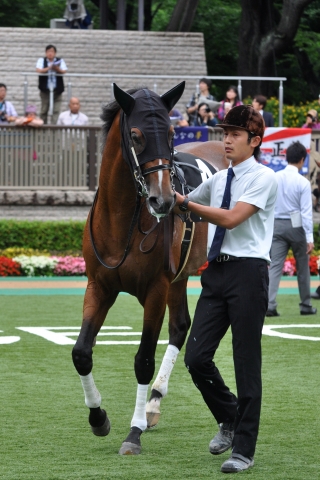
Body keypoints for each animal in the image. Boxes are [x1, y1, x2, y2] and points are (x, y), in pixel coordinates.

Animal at [72, 81, 228, 454]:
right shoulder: (99, 285)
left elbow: (142, 359)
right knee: (181, 326)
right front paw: (98, 417)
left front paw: (134, 431)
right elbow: (82, 352)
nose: (164, 200)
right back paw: (155, 400)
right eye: (136, 135)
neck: (122, 220)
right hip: (180, 276)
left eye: (172, 133)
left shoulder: (156, 288)